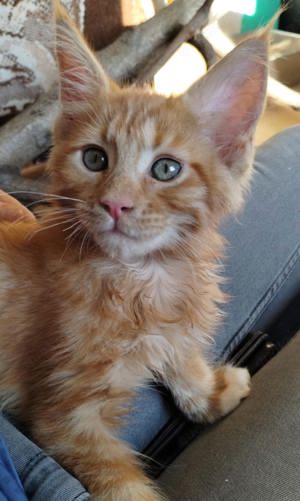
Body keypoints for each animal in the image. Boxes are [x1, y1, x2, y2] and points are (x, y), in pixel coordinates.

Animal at [0, 3, 268, 500]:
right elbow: (126, 488)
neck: (139, 280)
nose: (115, 204)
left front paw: (211, 392)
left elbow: (183, 362)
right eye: (94, 159)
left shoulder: (177, 323)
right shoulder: (64, 418)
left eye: (166, 169)